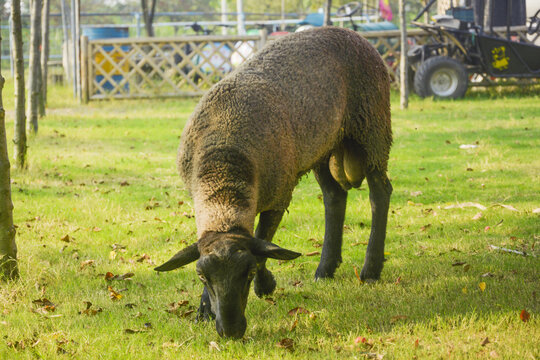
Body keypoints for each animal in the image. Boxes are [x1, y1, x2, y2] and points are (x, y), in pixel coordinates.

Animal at [155, 26, 392, 338]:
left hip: (373, 126)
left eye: (249, 273)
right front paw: (204, 310)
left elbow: (263, 240)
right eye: (201, 275)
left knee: (380, 192)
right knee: (334, 196)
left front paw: (265, 285)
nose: (231, 331)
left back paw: (371, 270)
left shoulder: (279, 195)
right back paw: (325, 269)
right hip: (321, 145)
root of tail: (349, 32)